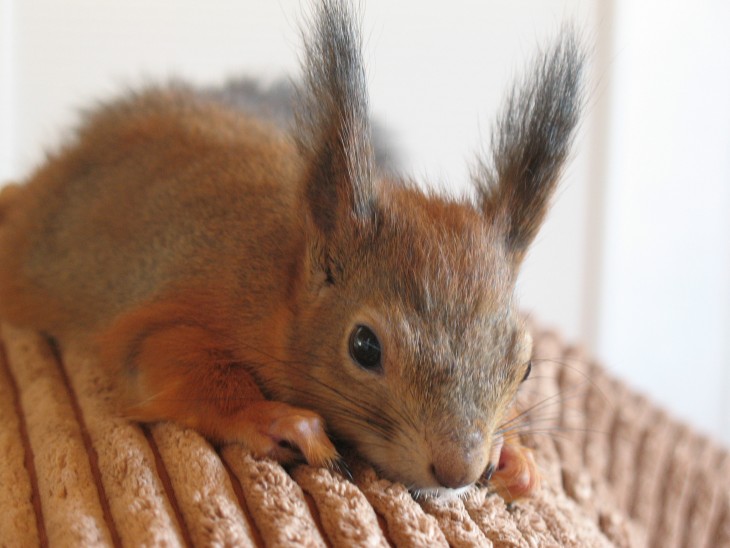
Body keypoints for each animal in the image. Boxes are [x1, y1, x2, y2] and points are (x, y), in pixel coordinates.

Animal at [0, 0, 580, 500]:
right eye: (364, 346)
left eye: (526, 367)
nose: (458, 469)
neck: (281, 275)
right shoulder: (173, 307)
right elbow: (174, 360)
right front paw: (276, 419)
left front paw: (516, 457)